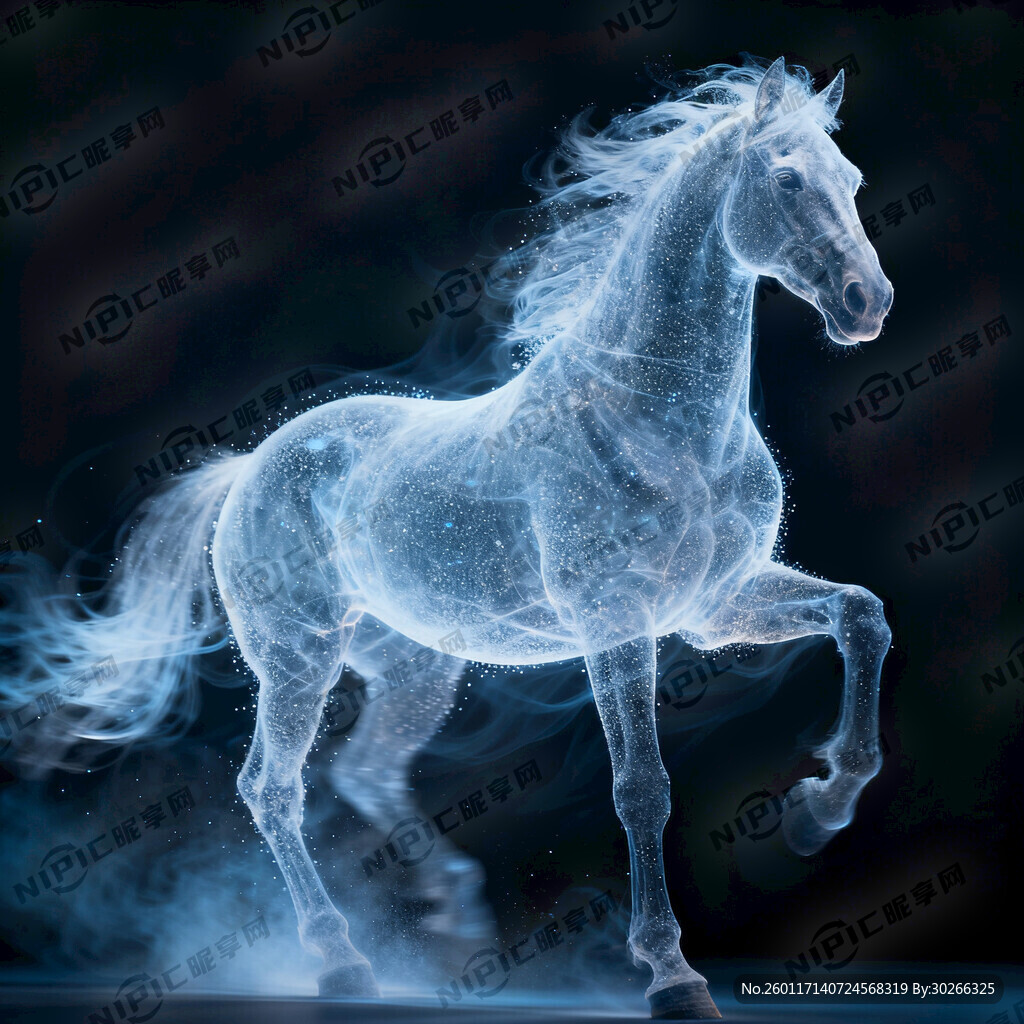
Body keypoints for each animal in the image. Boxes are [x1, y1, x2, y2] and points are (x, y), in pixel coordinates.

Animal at [1, 57, 893, 1019]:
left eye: (852, 179)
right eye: (787, 178)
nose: (866, 303)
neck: (657, 421)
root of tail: (246, 470)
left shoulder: (716, 607)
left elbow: (861, 615)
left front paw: (818, 811)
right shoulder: (615, 624)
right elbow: (642, 789)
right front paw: (672, 976)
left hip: (415, 667)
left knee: (363, 772)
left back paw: (455, 914)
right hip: (298, 658)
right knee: (272, 789)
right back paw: (343, 965)